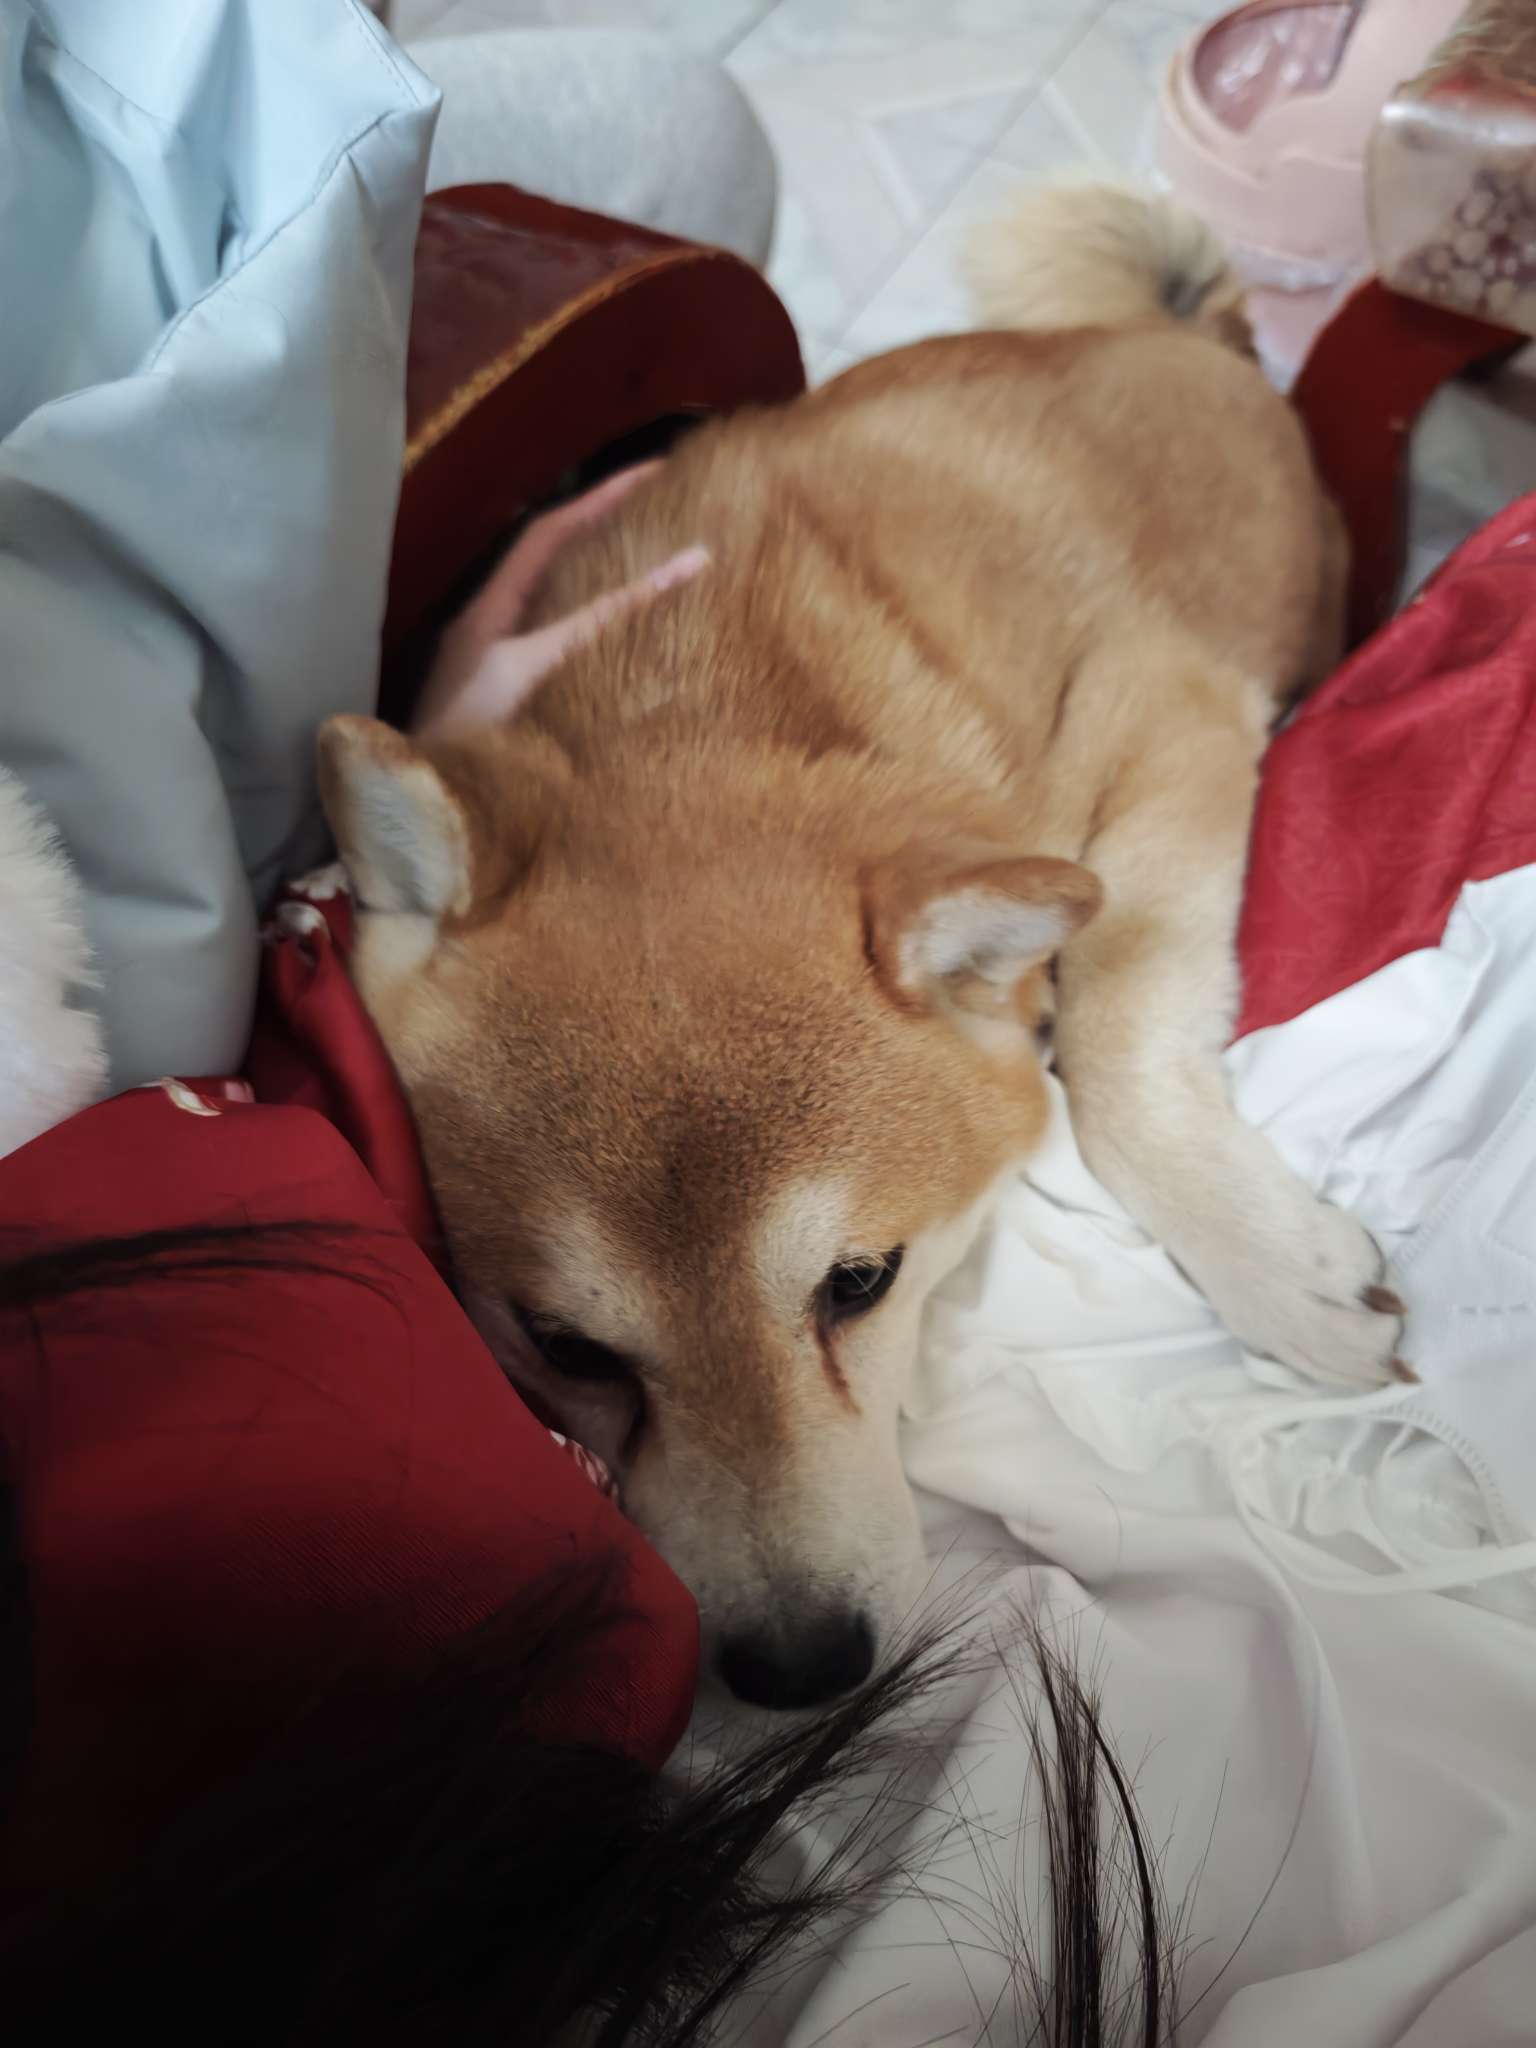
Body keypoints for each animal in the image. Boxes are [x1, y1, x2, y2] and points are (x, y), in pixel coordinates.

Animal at [320, 186, 1402, 1709]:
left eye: (860, 1283)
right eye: (567, 1347)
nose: (798, 1666)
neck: (714, 700)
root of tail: (1198, 339)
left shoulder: (1161, 702)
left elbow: (1116, 1048)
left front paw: (1274, 1273)